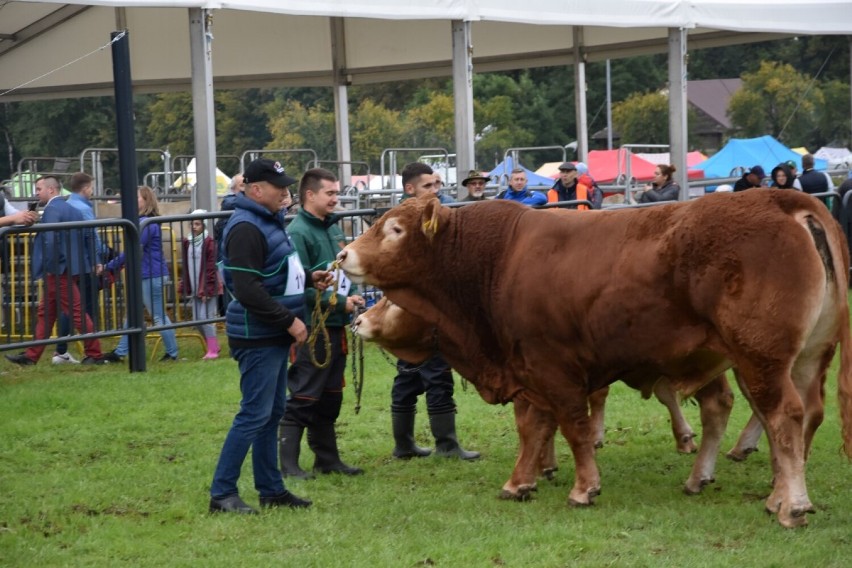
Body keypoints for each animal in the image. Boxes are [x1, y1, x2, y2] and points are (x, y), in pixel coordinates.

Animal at [352, 298, 700, 496]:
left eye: (392, 303)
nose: (357, 320)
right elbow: (538, 426)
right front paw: (541, 467)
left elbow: (534, 427)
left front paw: (535, 470)